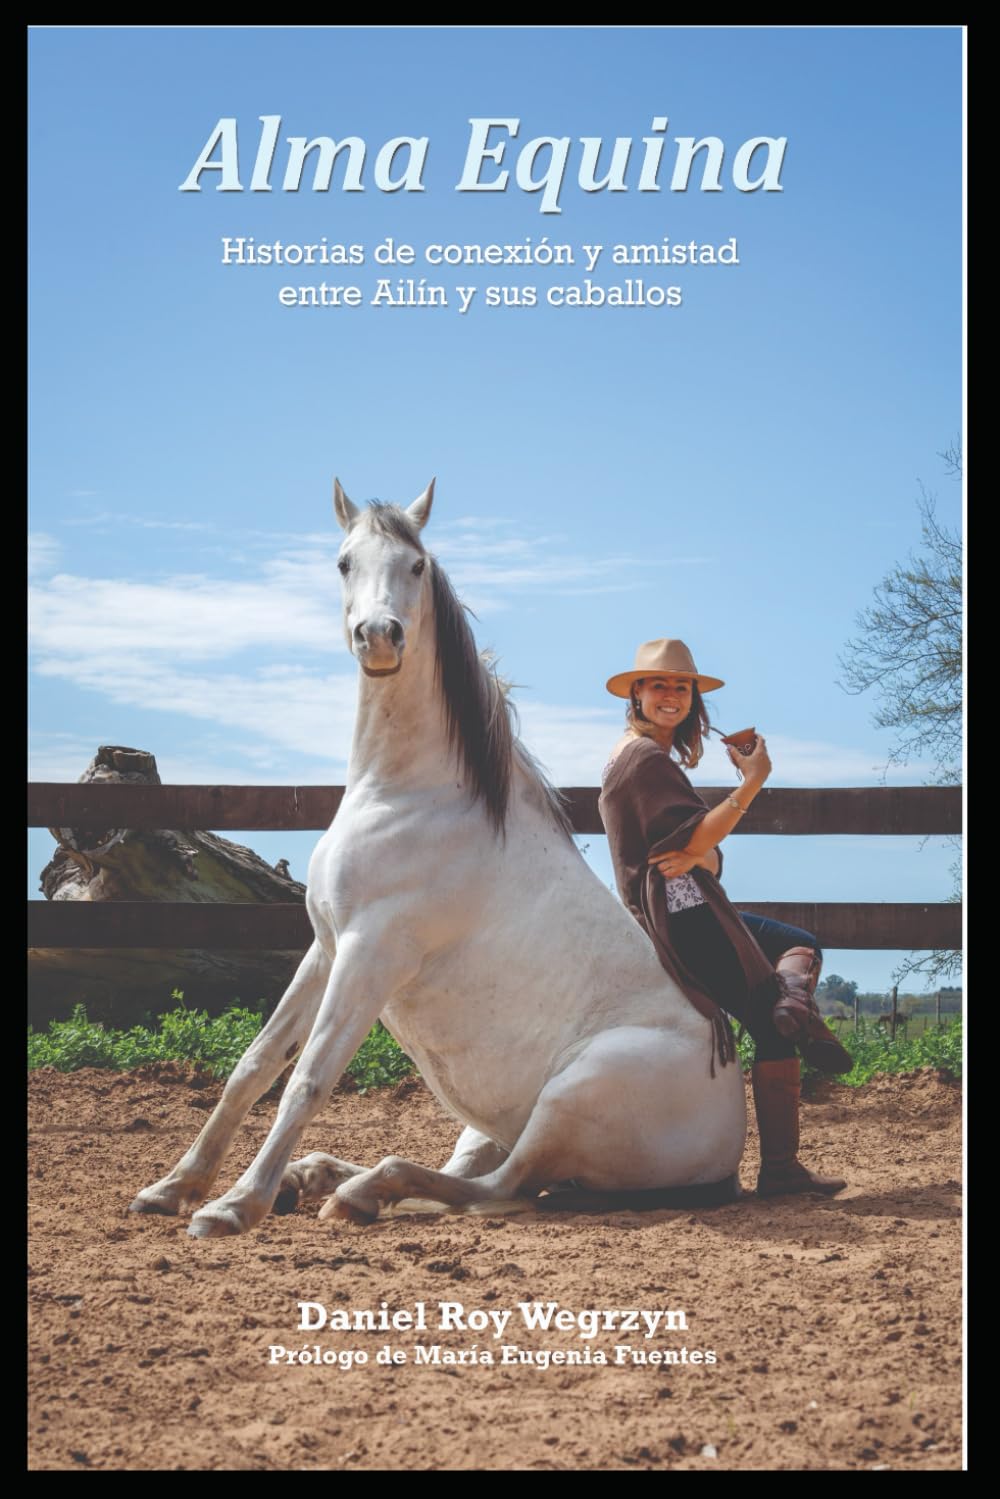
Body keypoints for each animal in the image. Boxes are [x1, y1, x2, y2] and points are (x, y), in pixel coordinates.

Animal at [130, 480, 747, 1237]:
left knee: (502, 1188)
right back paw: (322, 1178)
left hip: (570, 1096)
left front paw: (232, 1204)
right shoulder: (326, 946)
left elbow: (308, 1079)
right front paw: (174, 1187)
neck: (408, 792)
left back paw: (356, 1190)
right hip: (492, 1122)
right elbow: (257, 1063)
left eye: (417, 565)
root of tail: (731, 1143)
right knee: (482, 1181)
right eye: (344, 562)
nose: (379, 636)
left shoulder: (372, 953)